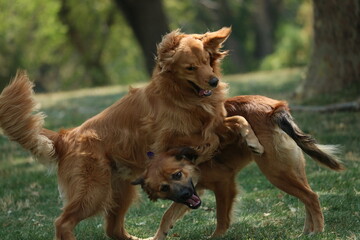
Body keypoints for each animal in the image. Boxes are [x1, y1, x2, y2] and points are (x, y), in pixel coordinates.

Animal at [0, 27, 262, 239]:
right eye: (190, 67)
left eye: (207, 60)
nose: (214, 81)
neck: (181, 97)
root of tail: (64, 137)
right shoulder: (169, 141)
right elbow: (208, 139)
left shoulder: (214, 122)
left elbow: (236, 120)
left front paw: (254, 142)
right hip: (93, 192)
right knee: (63, 222)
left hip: (121, 192)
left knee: (113, 229)